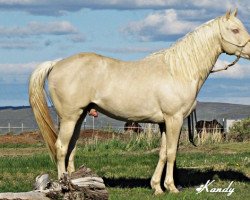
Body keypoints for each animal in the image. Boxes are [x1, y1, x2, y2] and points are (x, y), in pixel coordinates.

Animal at [29, 9, 250, 195]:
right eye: (235, 29)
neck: (178, 71)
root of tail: (57, 63)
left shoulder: (164, 123)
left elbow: (163, 153)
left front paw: (157, 187)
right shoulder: (174, 119)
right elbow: (172, 152)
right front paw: (171, 187)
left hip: (79, 116)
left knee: (71, 149)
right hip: (69, 117)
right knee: (61, 148)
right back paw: (64, 187)